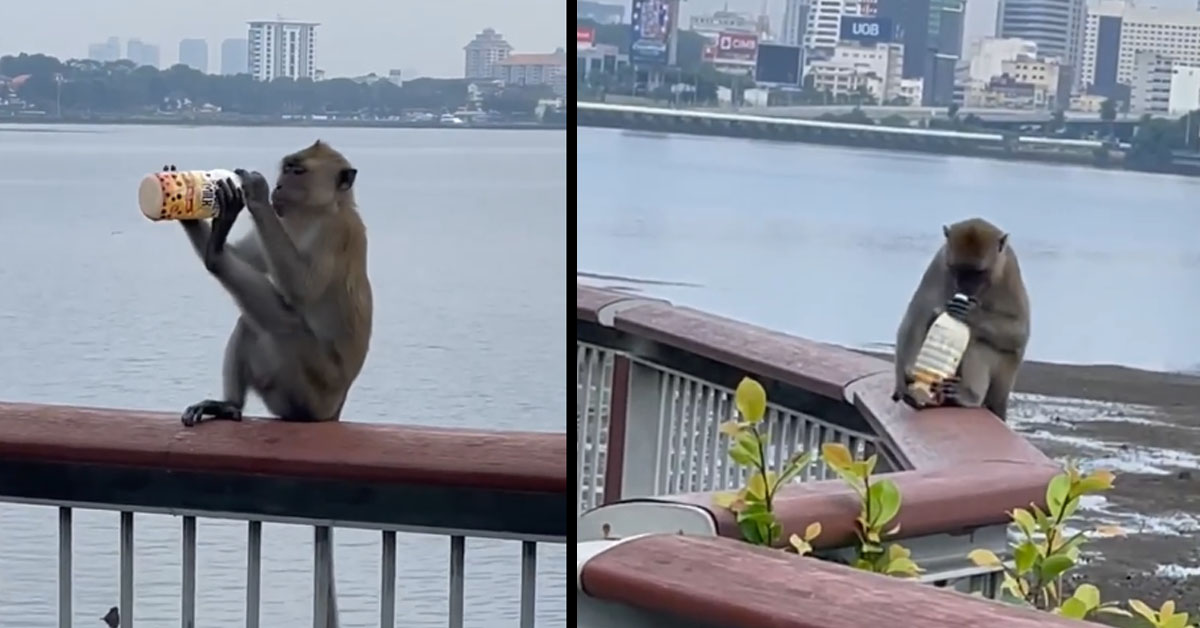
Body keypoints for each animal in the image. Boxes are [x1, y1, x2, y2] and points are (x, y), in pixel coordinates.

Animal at [892, 217, 1030, 421]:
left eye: (977, 273)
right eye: (958, 269)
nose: (966, 287)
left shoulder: (1009, 272)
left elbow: (1020, 333)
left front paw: (970, 314)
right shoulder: (940, 263)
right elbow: (916, 316)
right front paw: (904, 381)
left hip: (1003, 374)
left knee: (978, 341)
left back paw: (968, 395)